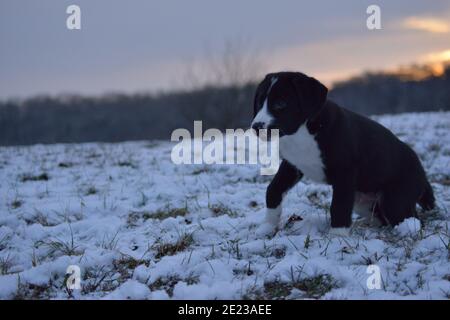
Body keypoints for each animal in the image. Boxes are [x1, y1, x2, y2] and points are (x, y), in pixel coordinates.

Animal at [251, 71, 434, 236]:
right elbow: (273, 189)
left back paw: (407, 229)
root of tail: (423, 176)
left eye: (280, 103)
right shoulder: (292, 165)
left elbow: (339, 205)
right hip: (363, 202)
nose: (256, 127)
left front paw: (337, 237)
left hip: (394, 201)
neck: (303, 132)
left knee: (413, 220)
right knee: (381, 219)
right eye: (259, 102)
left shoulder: (345, 173)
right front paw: (267, 226)